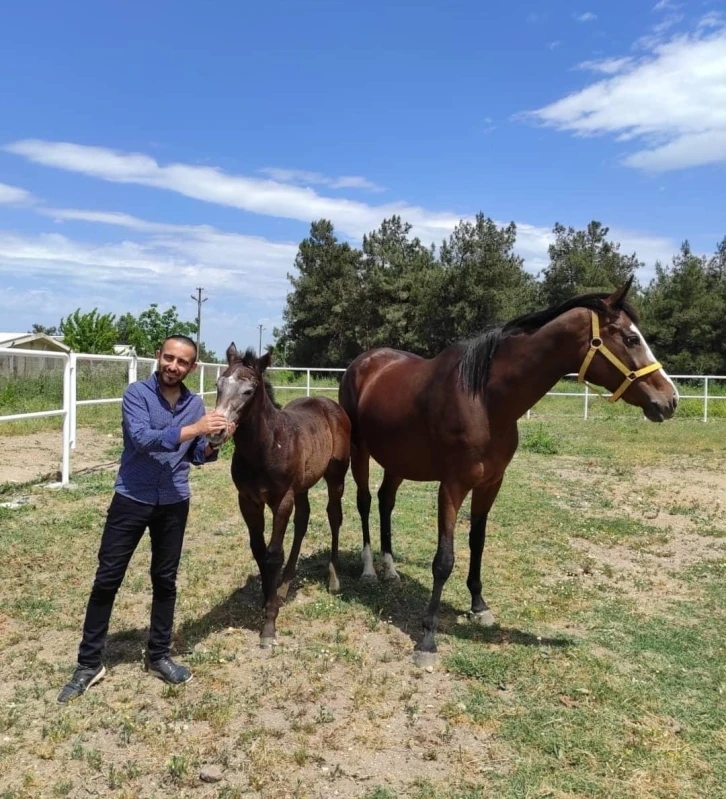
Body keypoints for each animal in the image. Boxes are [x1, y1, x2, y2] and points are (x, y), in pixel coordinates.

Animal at [209, 346, 354, 648]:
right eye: (218, 385)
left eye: (248, 391)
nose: (216, 432)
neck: (265, 447)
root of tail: (331, 405)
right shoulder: (248, 500)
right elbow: (258, 549)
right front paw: (268, 597)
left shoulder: (281, 500)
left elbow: (274, 553)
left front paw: (269, 624)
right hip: (302, 486)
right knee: (303, 521)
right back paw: (285, 584)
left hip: (335, 476)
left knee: (334, 516)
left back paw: (333, 579)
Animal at [338, 282, 680, 664]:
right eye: (631, 339)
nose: (669, 400)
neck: (484, 400)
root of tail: (364, 362)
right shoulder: (452, 486)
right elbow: (444, 560)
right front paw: (427, 638)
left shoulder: (491, 483)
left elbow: (477, 542)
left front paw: (479, 605)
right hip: (361, 452)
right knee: (365, 502)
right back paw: (369, 571)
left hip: (399, 460)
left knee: (386, 501)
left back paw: (391, 570)